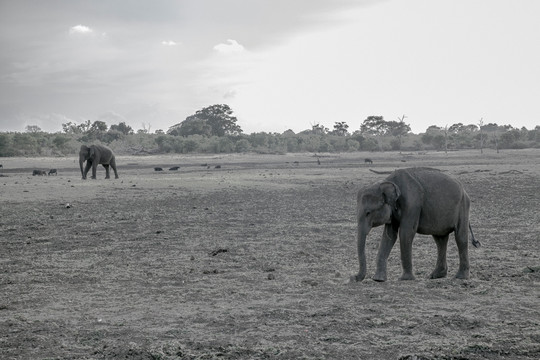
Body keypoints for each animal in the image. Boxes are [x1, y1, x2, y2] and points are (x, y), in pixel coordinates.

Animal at [350, 167, 480, 282]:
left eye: (368, 213)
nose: (353, 278)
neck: (385, 182)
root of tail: (464, 191)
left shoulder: (412, 204)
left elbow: (405, 233)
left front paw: (405, 279)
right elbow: (389, 236)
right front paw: (378, 279)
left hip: (463, 206)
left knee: (460, 237)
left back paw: (460, 277)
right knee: (440, 240)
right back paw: (436, 275)